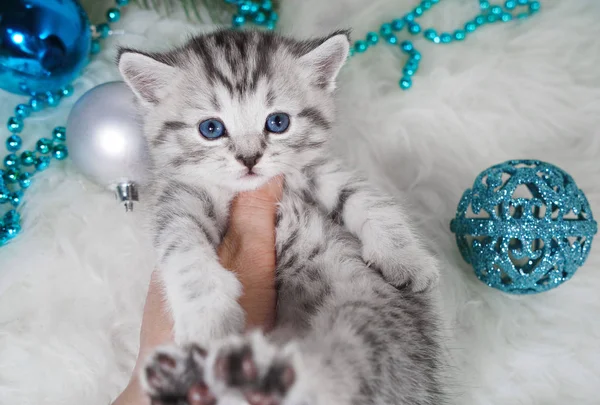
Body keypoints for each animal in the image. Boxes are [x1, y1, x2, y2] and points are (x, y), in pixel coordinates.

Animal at [119, 29, 442, 404]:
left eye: (278, 122)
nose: (249, 159)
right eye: (211, 128)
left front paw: (404, 255)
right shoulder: (178, 196)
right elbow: (180, 241)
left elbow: (363, 196)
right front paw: (209, 314)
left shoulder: (313, 169)